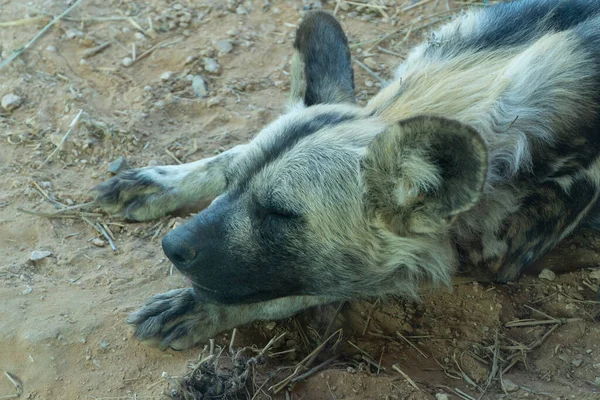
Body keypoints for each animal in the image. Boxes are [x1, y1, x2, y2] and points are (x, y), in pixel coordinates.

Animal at [95, 0, 600, 350]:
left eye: (280, 214)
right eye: (234, 183)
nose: (171, 245)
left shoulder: (482, 263)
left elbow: (308, 287)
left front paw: (199, 308)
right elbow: (223, 158)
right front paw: (160, 183)